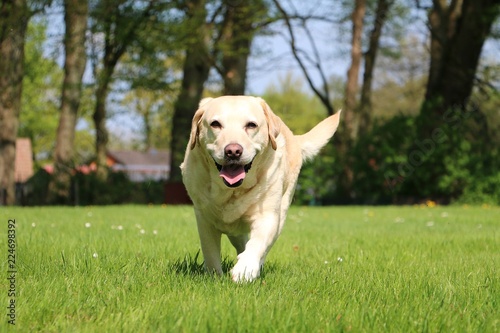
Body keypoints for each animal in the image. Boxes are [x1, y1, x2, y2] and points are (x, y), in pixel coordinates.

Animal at [182, 95, 342, 280]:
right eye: (215, 124)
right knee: (241, 241)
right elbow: (210, 252)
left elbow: (258, 243)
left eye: (251, 125)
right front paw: (215, 276)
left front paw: (245, 269)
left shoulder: (268, 216)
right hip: (232, 229)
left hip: (282, 210)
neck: (232, 191)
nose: (233, 151)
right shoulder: (204, 219)